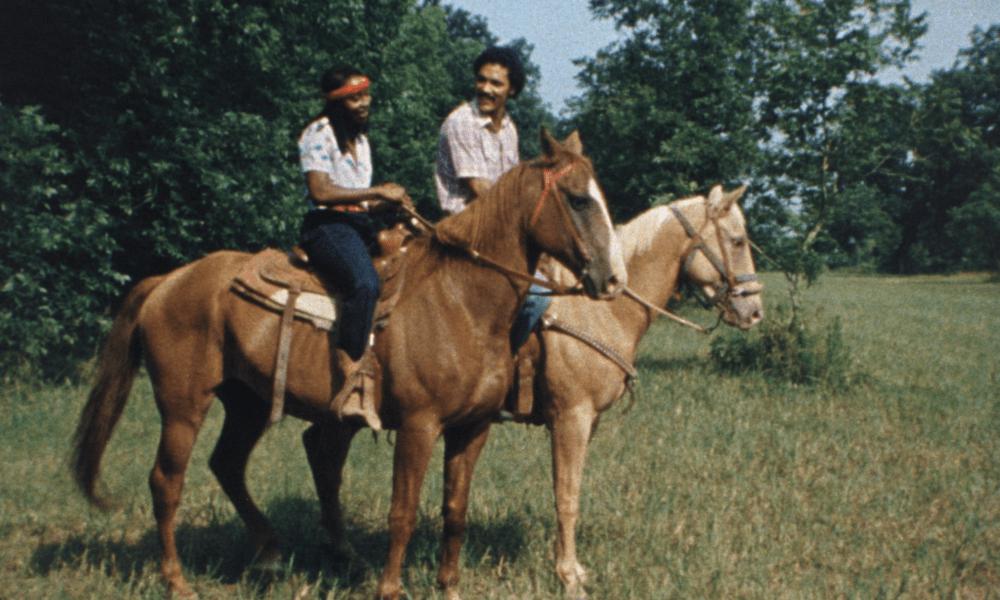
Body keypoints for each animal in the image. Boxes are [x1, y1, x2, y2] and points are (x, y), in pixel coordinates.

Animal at [72, 131, 624, 600]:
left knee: (227, 465)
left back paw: (271, 553)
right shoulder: (420, 425)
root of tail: (168, 280)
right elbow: (403, 512)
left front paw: (449, 587)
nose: (613, 279)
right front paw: (390, 589)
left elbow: (454, 509)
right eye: (578, 199)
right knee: (166, 482)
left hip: (247, 403)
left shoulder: (473, 427)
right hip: (183, 405)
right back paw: (178, 581)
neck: (460, 302)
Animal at [520, 185, 760, 596]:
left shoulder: (587, 422)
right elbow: (566, 497)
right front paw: (568, 578)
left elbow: (569, 489)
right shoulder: (571, 419)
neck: (599, 311)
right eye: (737, 240)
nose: (755, 310)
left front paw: (573, 568)